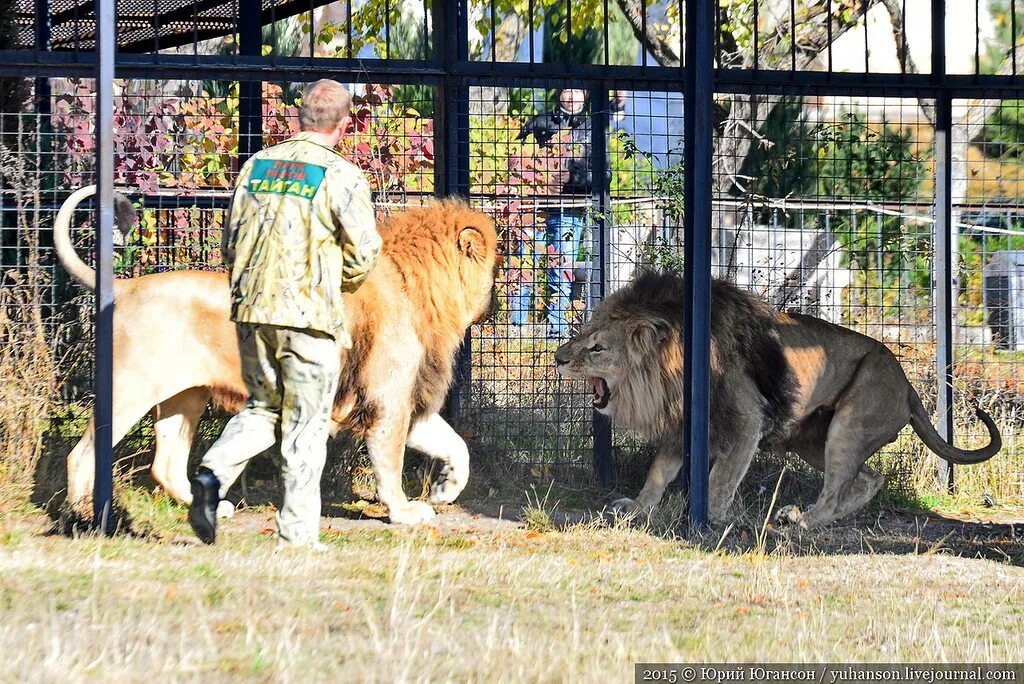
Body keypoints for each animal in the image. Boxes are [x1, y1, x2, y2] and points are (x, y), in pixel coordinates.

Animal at [55, 184, 495, 528]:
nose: (494, 303)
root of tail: (125, 287)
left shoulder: (407, 399)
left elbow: (458, 446)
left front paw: (444, 490)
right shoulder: (386, 403)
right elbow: (390, 465)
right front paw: (404, 512)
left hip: (185, 396)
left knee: (165, 464)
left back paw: (212, 508)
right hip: (130, 389)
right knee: (81, 455)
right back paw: (85, 517)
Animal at [552, 270, 999, 528]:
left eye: (597, 348)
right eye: (583, 336)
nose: (557, 359)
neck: (670, 369)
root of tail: (907, 384)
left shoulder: (746, 421)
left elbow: (721, 478)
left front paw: (708, 517)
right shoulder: (686, 422)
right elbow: (658, 472)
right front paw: (639, 507)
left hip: (850, 423)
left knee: (838, 486)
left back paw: (800, 520)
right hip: (810, 439)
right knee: (870, 478)